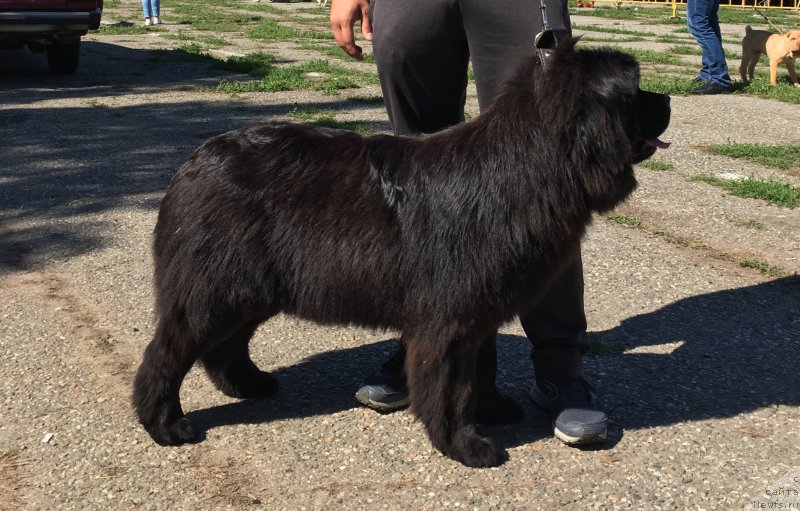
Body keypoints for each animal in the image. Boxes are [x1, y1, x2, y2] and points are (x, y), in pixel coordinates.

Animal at [134, 39, 672, 468]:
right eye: (635, 91)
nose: (668, 98)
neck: (525, 168)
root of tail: (193, 161)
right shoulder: (450, 320)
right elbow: (452, 387)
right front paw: (465, 444)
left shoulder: (479, 312)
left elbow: (482, 368)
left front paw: (493, 410)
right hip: (215, 290)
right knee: (166, 354)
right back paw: (165, 426)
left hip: (252, 289)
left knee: (225, 348)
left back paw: (249, 385)